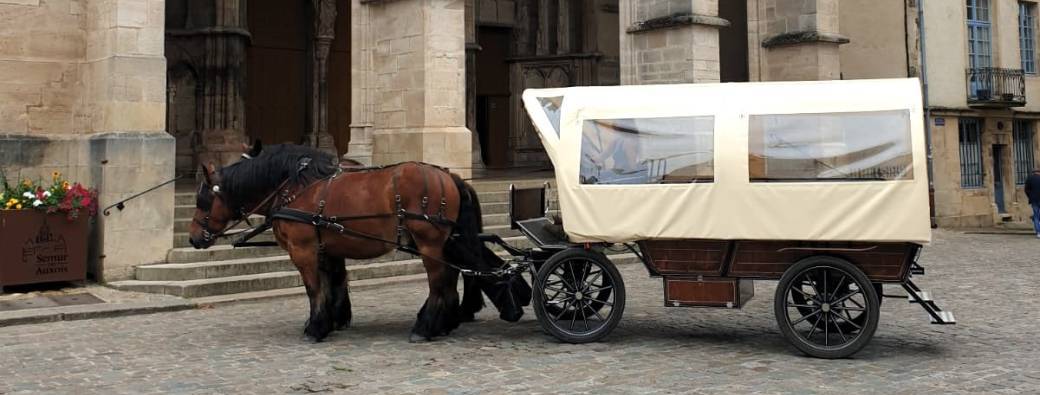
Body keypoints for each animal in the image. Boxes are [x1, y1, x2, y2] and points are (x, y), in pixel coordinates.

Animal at [186, 143, 524, 340]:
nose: (192, 239)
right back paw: (443, 322)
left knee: (440, 281)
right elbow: (335, 282)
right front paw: (334, 319)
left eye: (203, 201)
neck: (294, 188)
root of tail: (449, 176)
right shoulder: (328, 247)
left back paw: (426, 327)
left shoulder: (304, 250)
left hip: (429, 243)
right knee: (453, 276)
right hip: (442, 242)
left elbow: (314, 289)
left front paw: (316, 327)